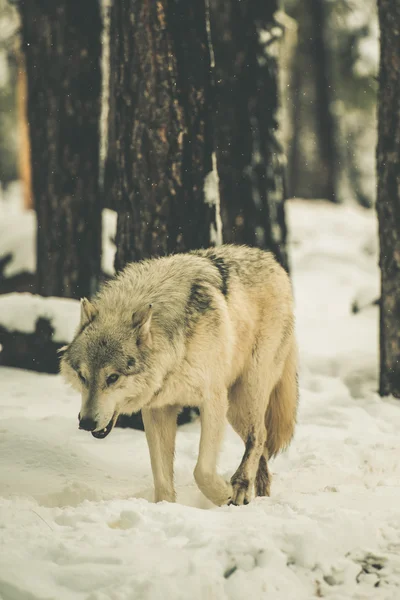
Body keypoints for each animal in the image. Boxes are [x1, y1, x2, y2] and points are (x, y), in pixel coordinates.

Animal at [59, 245, 296, 506]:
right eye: (82, 376)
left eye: (112, 377)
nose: (85, 422)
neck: (175, 354)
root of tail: (272, 261)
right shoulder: (157, 408)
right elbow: (162, 480)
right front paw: (165, 508)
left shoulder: (213, 399)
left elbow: (201, 471)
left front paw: (223, 494)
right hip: (235, 411)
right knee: (261, 447)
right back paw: (257, 494)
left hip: (243, 397)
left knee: (259, 436)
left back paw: (240, 486)